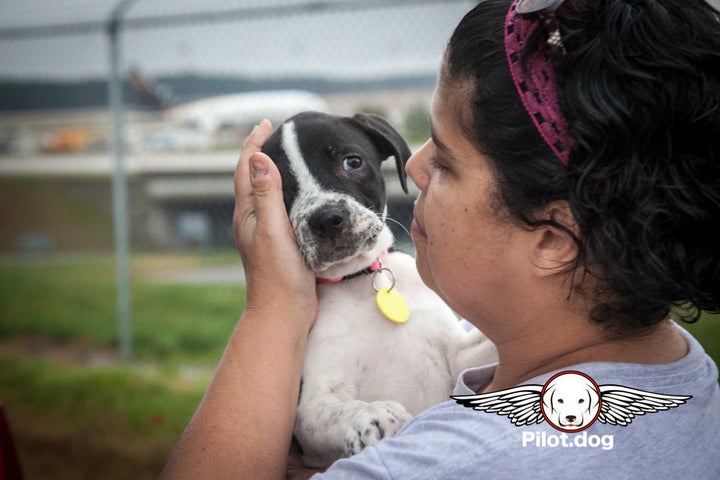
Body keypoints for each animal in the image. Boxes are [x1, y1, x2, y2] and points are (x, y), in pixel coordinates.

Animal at [262, 110, 498, 466]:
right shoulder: (311, 409)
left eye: (352, 162)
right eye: (282, 189)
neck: (361, 281)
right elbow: (337, 412)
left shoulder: (458, 358)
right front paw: (372, 415)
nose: (326, 219)